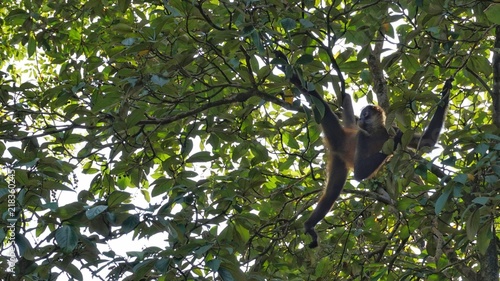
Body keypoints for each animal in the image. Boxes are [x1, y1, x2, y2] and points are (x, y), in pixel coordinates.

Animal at [290, 71, 454, 247]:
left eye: (365, 115)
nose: (360, 120)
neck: (376, 133)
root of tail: (345, 134)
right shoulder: (363, 136)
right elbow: (360, 173)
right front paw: (395, 142)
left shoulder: (389, 129)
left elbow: (427, 142)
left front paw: (446, 91)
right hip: (336, 136)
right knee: (324, 109)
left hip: (339, 159)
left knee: (332, 191)